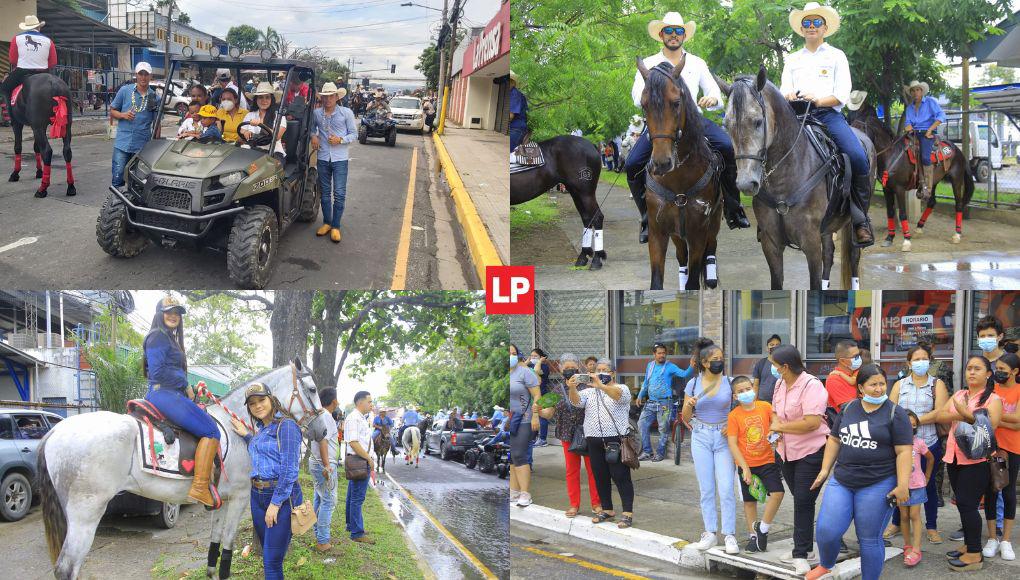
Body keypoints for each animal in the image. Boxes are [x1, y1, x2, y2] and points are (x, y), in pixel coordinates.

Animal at [36, 356, 326, 578]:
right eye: (312, 389)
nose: (323, 431)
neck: (235, 430)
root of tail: (55, 432)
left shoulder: (222, 500)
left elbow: (215, 544)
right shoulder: (239, 497)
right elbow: (228, 545)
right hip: (85, 513)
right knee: (66, 568)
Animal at [510, 135, 603, 269]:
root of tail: (592, 146)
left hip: (586, 193)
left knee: (597, 217)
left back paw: (596, 259)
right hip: (576, 192)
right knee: (587, 218)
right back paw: (582, 257)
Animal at [636, 54, 726, 289]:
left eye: (676, 103)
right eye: (644, 105)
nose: (661, 163)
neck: (678, 182)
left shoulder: (698, 232)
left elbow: (694, 281)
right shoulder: (658, 232)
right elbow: (656, 282)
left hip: (714, 223)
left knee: (711, 248)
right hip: (677, 234)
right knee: (681, 255)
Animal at [714, 66, 873, 289]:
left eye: (758, 121)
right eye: (726, 124)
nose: (746, 183)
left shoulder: (811, 243)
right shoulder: (771, 245)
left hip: (851, 223)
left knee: (854, 257)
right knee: (830, 254)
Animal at [848, 103, 975, 246]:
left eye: (859, 129)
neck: (891, 155)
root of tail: (957, 150)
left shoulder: (899, 189)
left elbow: (902, 213)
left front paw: (906, 241)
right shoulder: (887, 189)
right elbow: (890, 212)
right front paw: (889, 238)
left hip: (956, 179)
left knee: (958, 204)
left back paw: (957, 234)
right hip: (933, 182)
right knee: (932, 202)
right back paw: (919, 228)